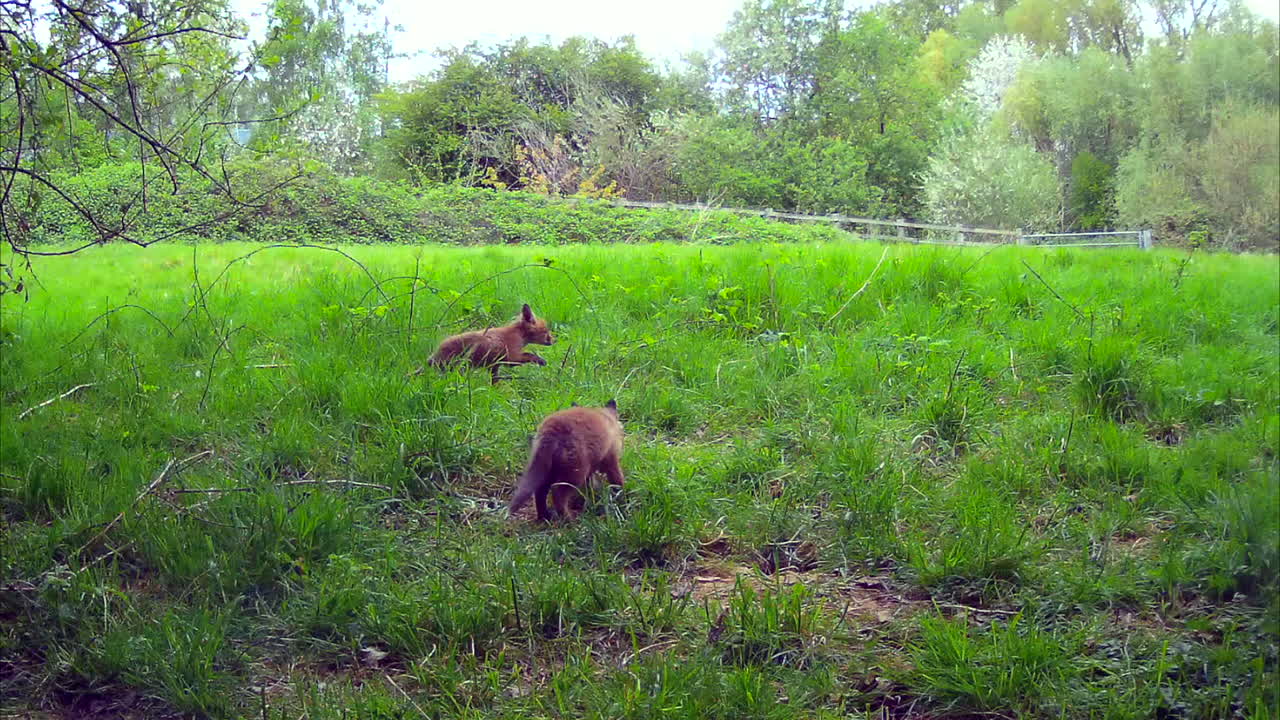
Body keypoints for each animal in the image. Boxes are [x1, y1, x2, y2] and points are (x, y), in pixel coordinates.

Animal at [427, 303, 555, 383]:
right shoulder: (511, 357)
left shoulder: (495, 366)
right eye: (546, 331)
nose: (555, 340)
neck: (519, 335)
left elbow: (495, 383)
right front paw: (540, 360)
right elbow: (529, 354)